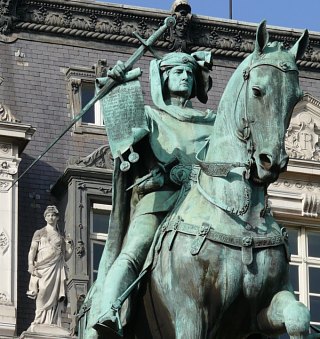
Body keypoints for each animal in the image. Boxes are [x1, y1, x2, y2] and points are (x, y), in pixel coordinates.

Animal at [128, 21, 312, 339]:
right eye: (257, 90)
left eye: (296, 98)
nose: (272, 161)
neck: (240, 218)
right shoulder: (190, 314)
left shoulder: (259, 313)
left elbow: (298, 316)